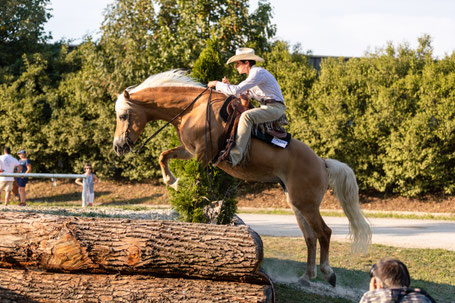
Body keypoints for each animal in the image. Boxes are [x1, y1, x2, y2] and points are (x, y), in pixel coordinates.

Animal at [113, 69, 370, 288]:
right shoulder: (189, 150)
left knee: (324, 233)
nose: (118, 147)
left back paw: (328, 273)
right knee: (310, 237)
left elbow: (194, 181)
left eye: (123, 115)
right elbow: (163, 155)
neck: (192, 109)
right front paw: (173, 181)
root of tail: (322, 163)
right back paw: (306, 277)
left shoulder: (202, 154)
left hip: (307, 204)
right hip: (296, 204)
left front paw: (185, 189)